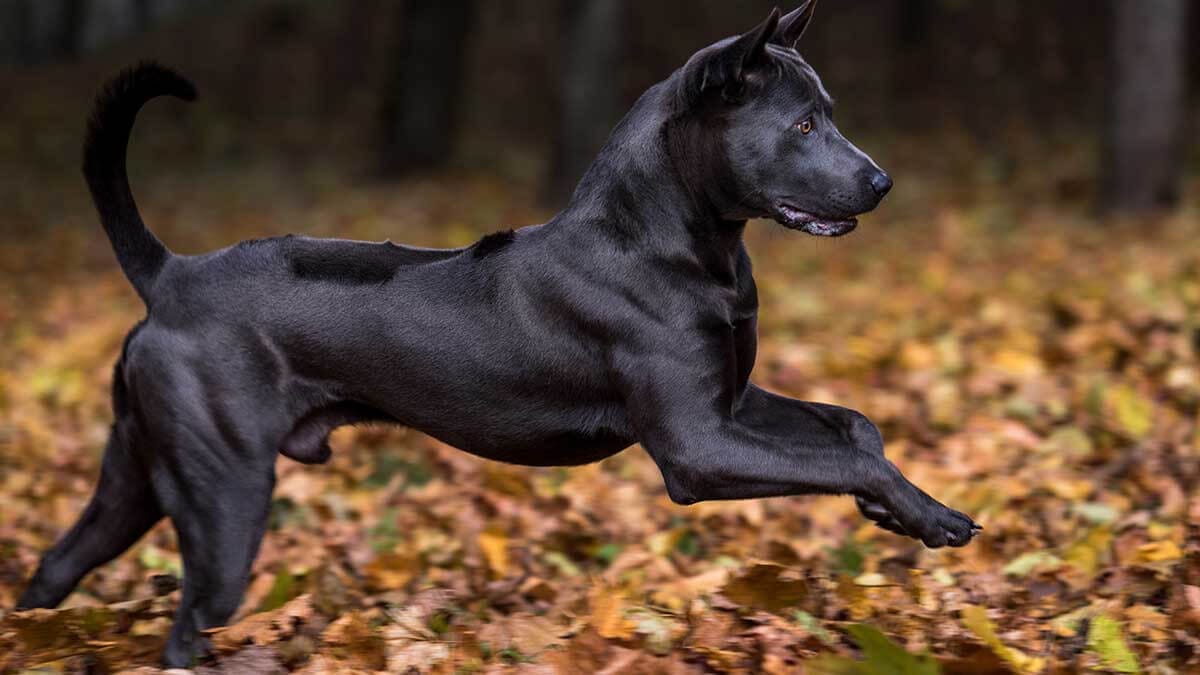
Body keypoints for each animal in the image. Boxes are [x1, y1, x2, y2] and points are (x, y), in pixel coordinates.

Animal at [18, 3, 979, 667]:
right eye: (803, 124)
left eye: (829, 111)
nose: (883, 182)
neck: (673, 235)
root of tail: (170, 274)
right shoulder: (697, 445)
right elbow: (843, 456)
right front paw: (932, 515)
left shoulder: (730, 403)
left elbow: (852, 429)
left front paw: (894, 504)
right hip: (224, 494)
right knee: (187, 623)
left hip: (138, 473)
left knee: (54, 567)